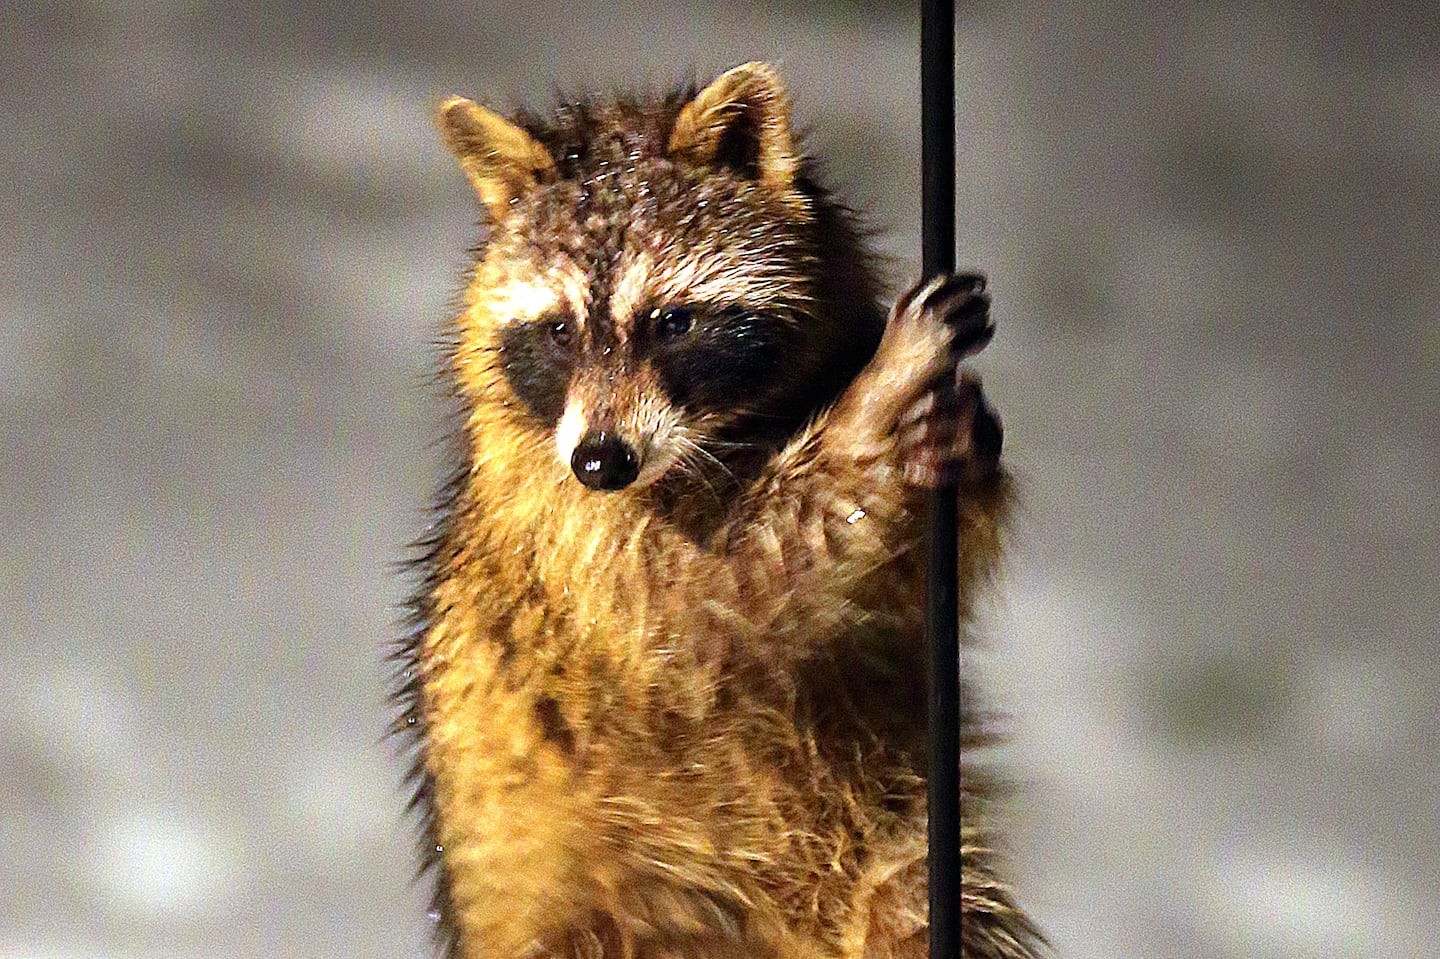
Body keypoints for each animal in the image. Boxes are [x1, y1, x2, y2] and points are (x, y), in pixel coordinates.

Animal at [394, 61, 1042, 956]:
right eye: (557, 331)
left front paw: (960, 447)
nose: (603, 461)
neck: (724, 434)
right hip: (609, 903)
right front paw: (873, 408)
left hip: (889, 850)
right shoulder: (563, 528)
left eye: (673, 321)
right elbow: (715, 597)